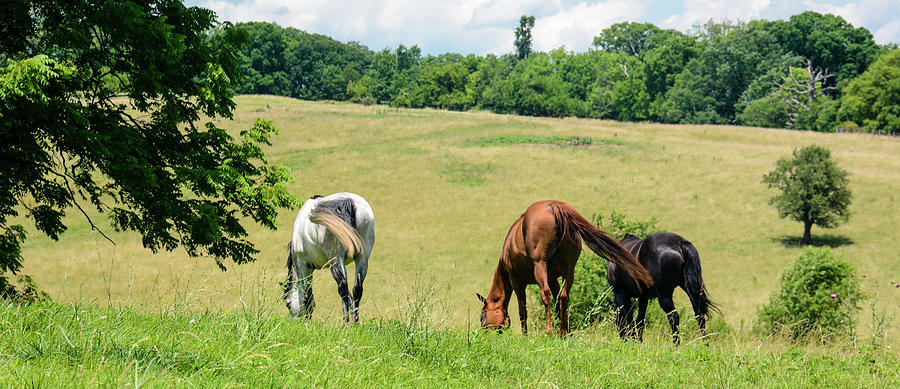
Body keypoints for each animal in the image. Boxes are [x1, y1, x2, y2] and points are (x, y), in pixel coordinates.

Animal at [284, 191, 376, 322]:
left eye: (288, 304)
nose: (292, 322)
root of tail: (349, 202)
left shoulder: (304, 265)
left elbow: (307, 296)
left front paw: (307, 321)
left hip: (335, 259)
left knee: (343, 289)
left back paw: (346, 323)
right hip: (362, 257)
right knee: (356, 290)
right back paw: (355, 322)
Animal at [478, 200, 652, 334]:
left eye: (482, 316)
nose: (484, 334)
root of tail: (554, 206)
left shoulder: (517, 281)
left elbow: (523, 310)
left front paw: (525, 335)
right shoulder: (554, 279)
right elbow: (557, 303)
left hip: (540, 266)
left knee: (546, 294)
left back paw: (549, 331)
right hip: (569, 270)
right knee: (564, 297)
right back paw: (563, 332)